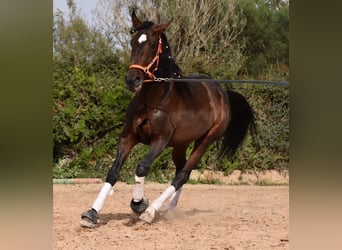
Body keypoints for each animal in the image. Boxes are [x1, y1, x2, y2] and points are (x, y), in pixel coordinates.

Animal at [81, 11, 256, 227]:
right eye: (133, 42)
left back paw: (152, 212)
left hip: (205, 141)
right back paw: (167, 208)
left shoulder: (160, 141)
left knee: (183, 174)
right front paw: (91, 213)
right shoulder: (128, 137)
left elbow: (142, 168)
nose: (132, 80)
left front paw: (139, 203)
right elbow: (113, 171)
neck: (153, 101)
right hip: (181, 144)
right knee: (180, 171)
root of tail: (222, 93)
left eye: (151, 45)